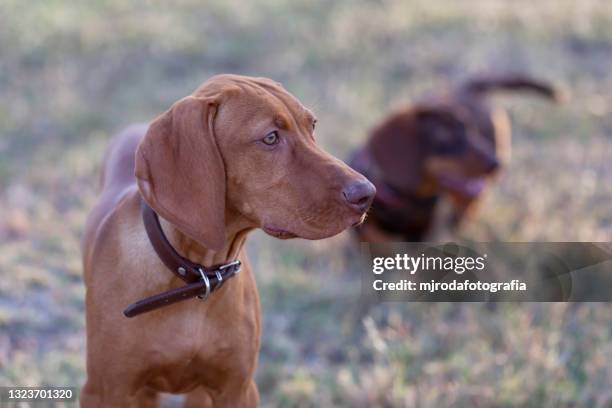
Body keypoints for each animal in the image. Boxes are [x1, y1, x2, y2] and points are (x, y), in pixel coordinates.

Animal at [81, 74, 376, 408]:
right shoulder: (106, 390)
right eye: (270, 138)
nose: (367, 193)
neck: (196, 277)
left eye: (311, 126)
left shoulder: (237, 388)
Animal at [352, 73, 560, 242]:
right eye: (445, 136)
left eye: (471, 132)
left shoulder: (420, 232)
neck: (405, 199)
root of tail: (472, 87)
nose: (496, 165)